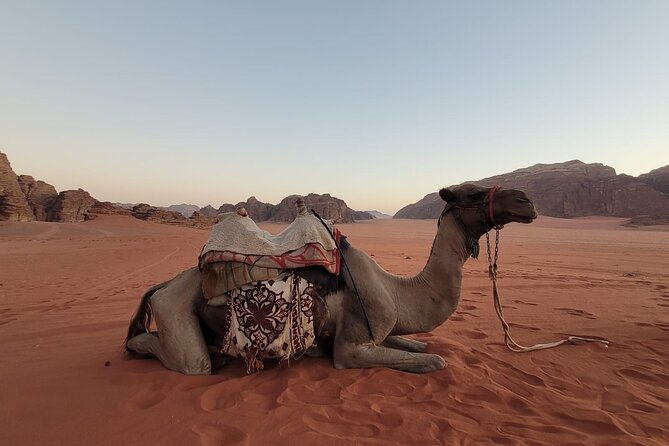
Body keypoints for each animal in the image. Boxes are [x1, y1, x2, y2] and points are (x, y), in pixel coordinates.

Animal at [124, 184, 537, 374]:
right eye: (475, 192)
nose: (526, 201)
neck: (396, 290)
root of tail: (161, 287)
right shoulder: (351, 348)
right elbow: (433, 361)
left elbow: (416, 345)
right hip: (175, 311)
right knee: (186, 359)